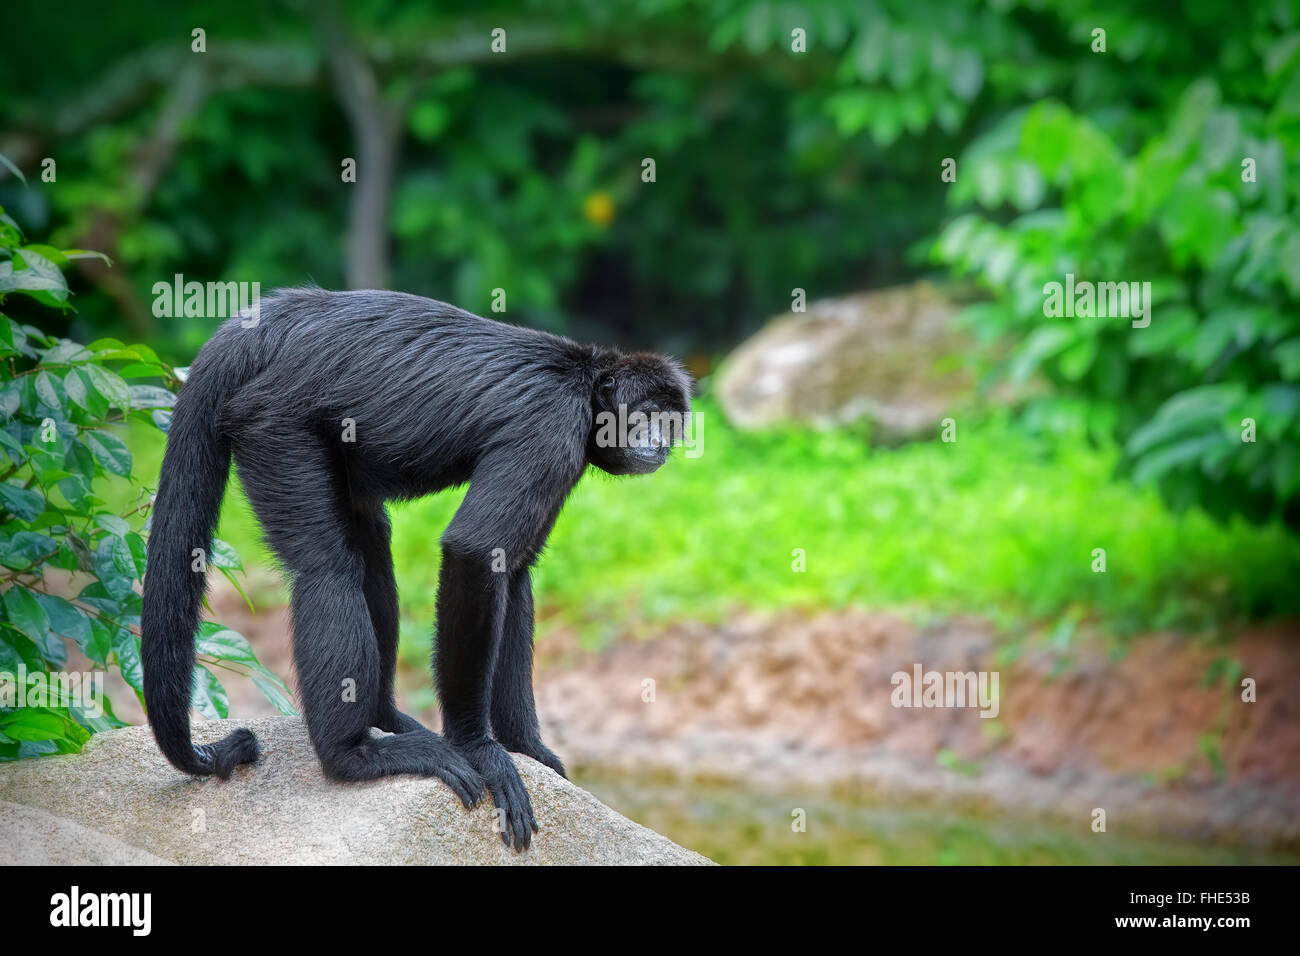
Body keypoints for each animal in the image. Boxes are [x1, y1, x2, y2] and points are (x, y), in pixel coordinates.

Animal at [139, 286, 691, 853]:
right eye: (646, 415)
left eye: (670, 421)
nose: (659, 442)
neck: (584, 381)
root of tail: (280, 315)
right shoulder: (551, 429)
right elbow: (477, 552)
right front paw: (482, 750)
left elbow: (512, 569)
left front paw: (528, 748)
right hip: (272, 423)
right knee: (328, 569)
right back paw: (352, 757)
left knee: (370, 546)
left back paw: (384, 718)